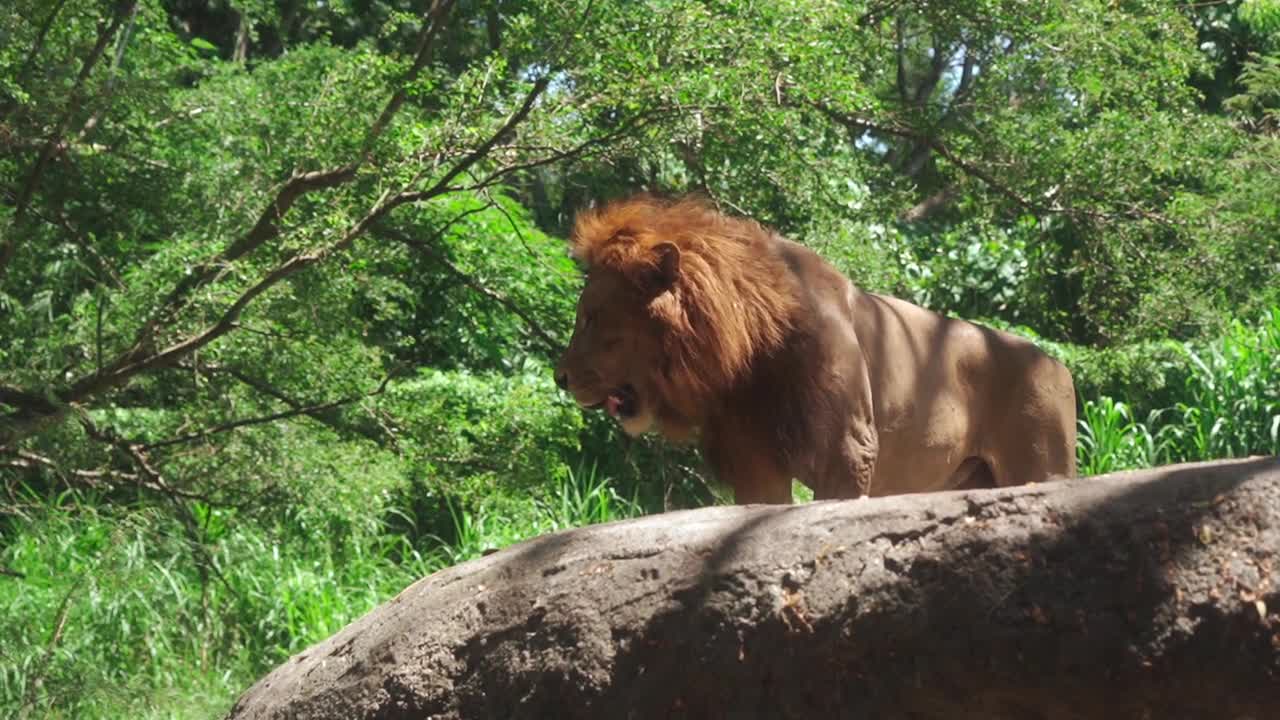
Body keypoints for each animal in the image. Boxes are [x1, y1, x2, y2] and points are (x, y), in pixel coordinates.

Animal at [555, 193, 1075, 502]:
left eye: (591, 318)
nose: (560, 378)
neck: (748, 355)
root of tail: (1058, 365)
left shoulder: (847, 452)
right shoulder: (753, 462)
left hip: (1043, 466)